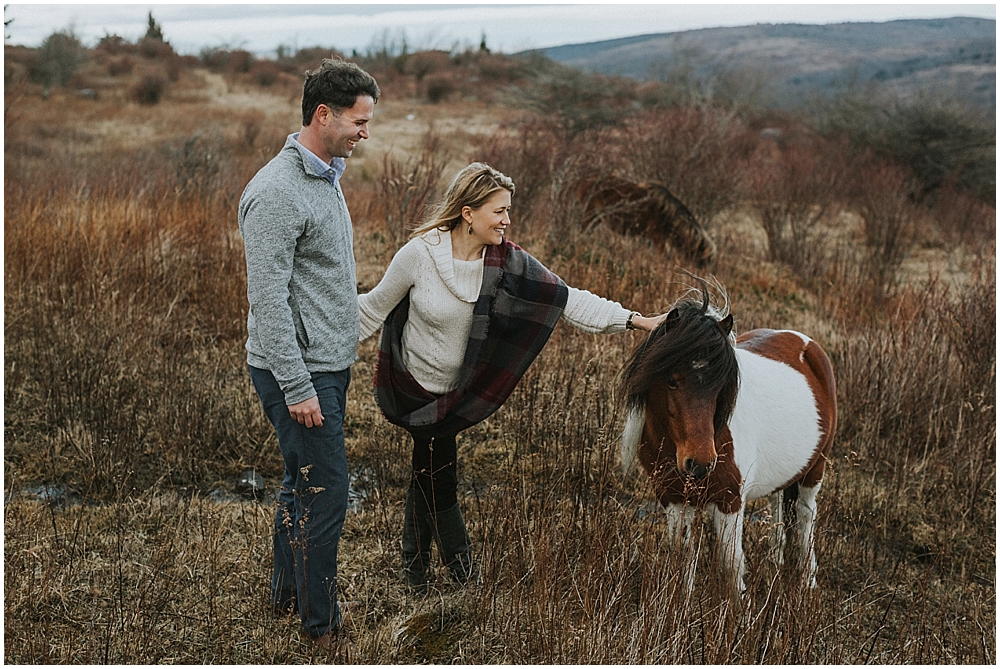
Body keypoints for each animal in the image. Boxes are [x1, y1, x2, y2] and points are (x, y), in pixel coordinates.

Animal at [580, 175, 720, 268]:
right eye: (702, 261)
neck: (667, 212)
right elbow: (663, 258)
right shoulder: (658, 238)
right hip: (589, 217)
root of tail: (587, 182)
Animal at [616, 280, 836, 588]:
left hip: (815, 470)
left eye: (722, 384)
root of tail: (807, 343)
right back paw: (775, 566)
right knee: (779, 508)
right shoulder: (674, 499)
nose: (700, 463)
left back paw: (808, 582)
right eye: (671, 380)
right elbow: (683, 560)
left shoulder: (730, 502)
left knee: (806, 518)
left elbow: (731, 566)